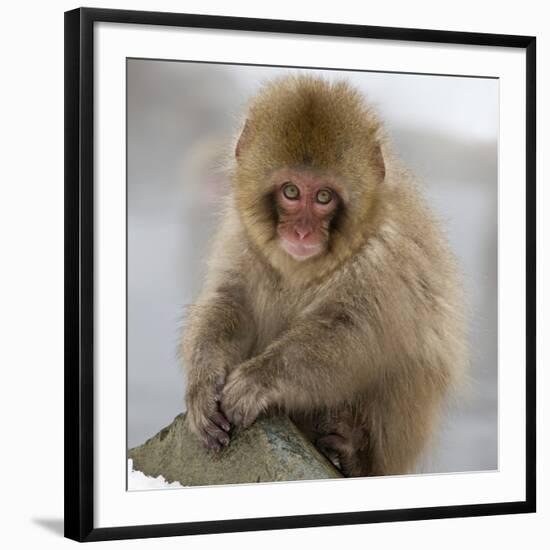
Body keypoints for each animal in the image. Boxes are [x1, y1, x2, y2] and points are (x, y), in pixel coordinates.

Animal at [182, 75, 470, 476]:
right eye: (290, 191)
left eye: (323, 197)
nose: (302, 233)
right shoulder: (242, 238)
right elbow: (230, 301)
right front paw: (203, 382)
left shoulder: (383, 257)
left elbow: (354, 336)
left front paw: (259, 379)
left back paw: (352, 453)